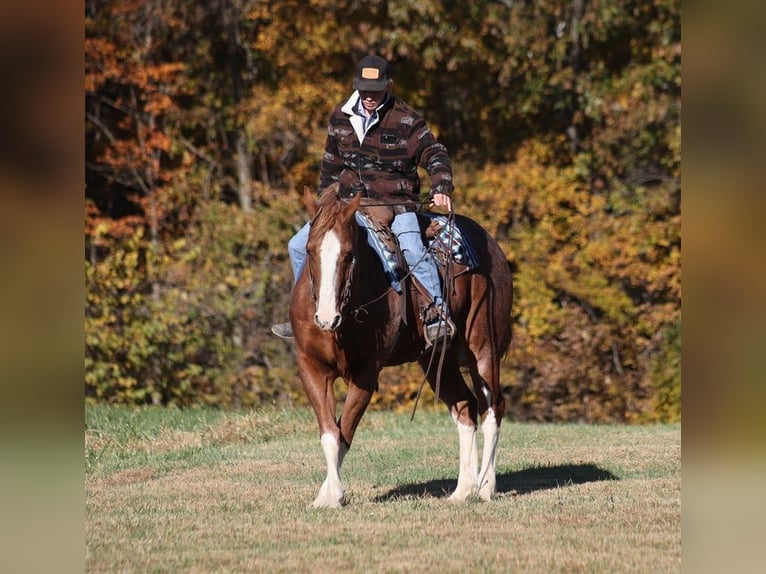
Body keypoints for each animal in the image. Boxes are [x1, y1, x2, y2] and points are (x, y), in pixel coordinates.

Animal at [292, 183, 512, 508]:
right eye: (309, 251)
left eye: (349, 255)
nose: (326, 318)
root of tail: (493, 247)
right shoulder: (312, 369)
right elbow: (331, 434)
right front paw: (325, 495)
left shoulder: (366, 373)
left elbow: (345, 431)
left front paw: (334, 494)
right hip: (438, 359)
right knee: (465, 407)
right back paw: (463, 490)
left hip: (483, 348)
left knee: (492, 408)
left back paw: (485, 487)